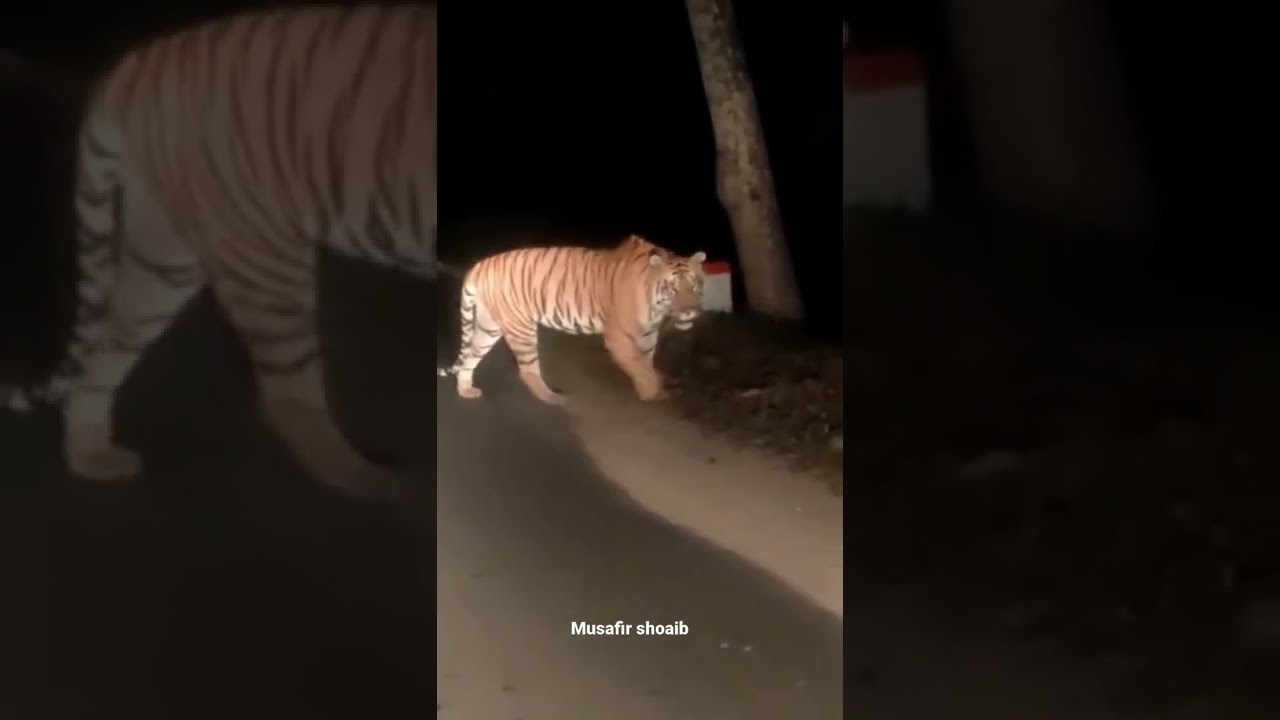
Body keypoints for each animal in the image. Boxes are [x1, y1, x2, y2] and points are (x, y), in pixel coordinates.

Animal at [0, 5, 440, 500]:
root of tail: (139, 61)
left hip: (168, 255)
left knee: (105, 349)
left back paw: (91, 456)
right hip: (263, 259)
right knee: (287, 396)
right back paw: (379, 483)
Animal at [436, 234, 707, 405]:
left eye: (694, 286)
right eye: (672, 289)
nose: (688, 311)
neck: (656, 308)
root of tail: (480, 265)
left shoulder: (648, 336)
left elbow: (647, 366)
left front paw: (653, 390)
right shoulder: (619, 338)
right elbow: (642, 369)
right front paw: (653, 394)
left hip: (488, 326)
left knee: (470, 356)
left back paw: (465, 390)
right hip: (521, 328)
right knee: (527, 369)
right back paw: (552, 397)